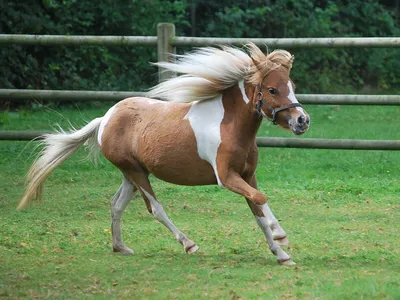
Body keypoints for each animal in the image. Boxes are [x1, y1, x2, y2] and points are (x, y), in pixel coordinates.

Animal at [18, 42, 310, 264]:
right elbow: (260, 199)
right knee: (155, 209)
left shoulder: (248, 176)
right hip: (135, 173)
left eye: (292, 86)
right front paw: (281, 236)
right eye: (272, 89)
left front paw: (282, 254)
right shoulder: (226, 177)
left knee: (116, 204)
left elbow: (258, 212)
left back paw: (120, 247)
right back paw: (188, 244)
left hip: (132, 174)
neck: (228, 125)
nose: (302, 121)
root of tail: (105, 119)